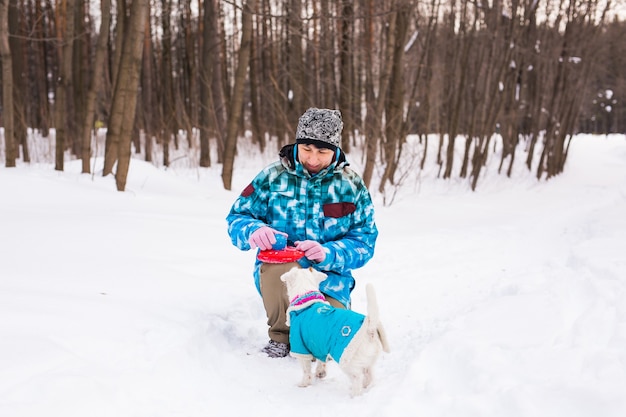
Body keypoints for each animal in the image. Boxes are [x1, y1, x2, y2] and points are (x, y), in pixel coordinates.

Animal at [280, 264, 388, 394]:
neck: (305, 297)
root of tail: (370, 329)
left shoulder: (300, 346)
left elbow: (306, 370)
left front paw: (304, 384)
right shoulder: (319, 345)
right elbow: (321, 361)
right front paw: (320, 373)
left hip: (347, 360)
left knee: (357, 378)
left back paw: (354, 394)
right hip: (368, 361)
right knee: (369, 376)